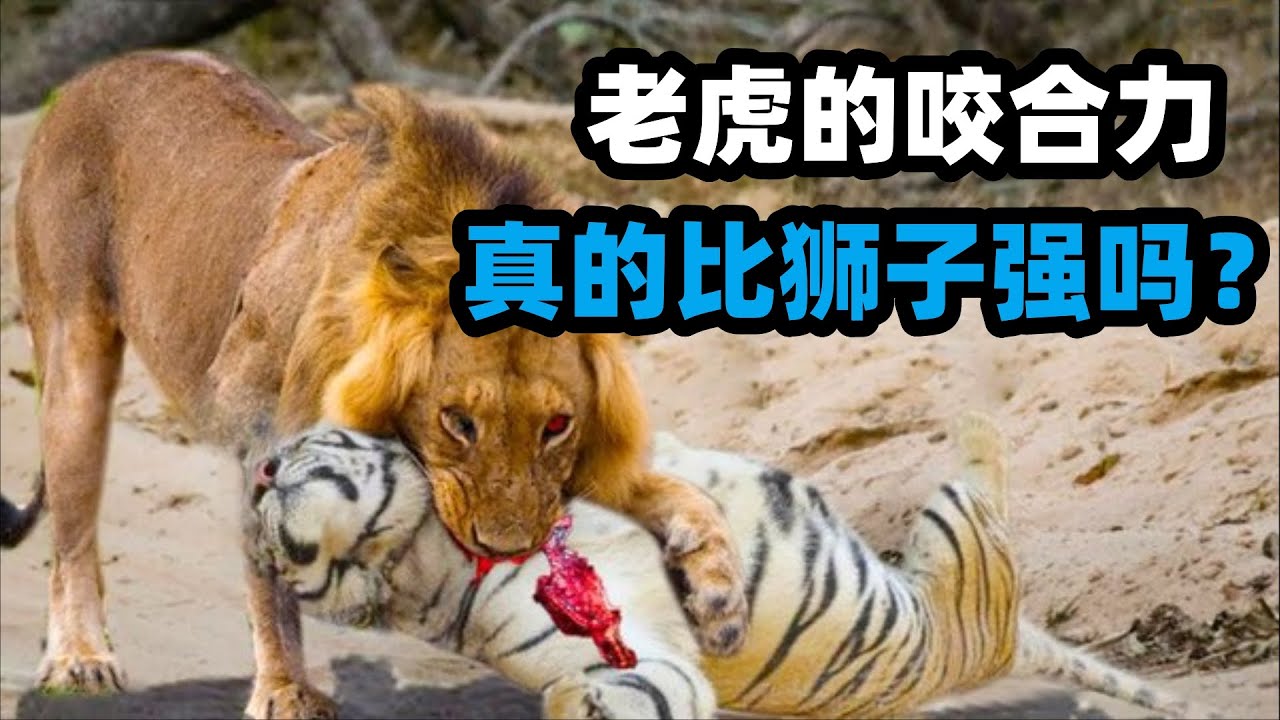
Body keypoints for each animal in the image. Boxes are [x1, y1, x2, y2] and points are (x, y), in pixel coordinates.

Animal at [245, 414, 1213, 719]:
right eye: (272, 548)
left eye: (289, 452)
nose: (258, 471)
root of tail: (1007, 644)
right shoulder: (638, 652)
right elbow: (625, 687)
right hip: (953, 521)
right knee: (985, 472)